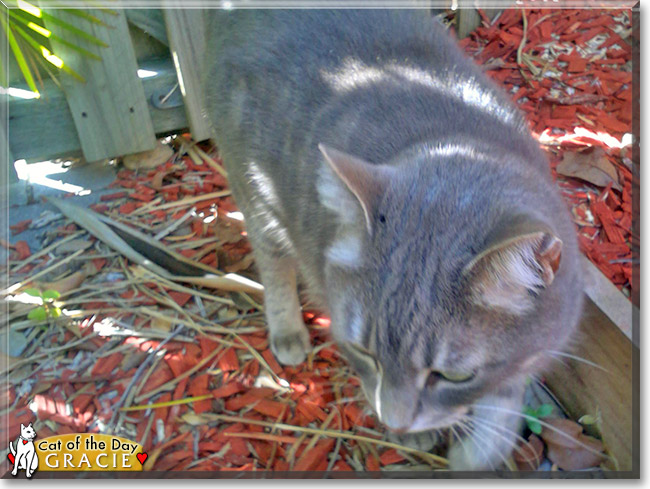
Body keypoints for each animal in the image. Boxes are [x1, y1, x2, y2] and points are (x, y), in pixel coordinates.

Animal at [200, 9, 580, 468]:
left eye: (454, 375)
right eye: (364, 353)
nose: (395, 423)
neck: (453, 141)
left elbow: (503, 406)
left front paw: (475, 453)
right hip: (256, 192)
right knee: (273, 262)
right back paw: (288, 330)